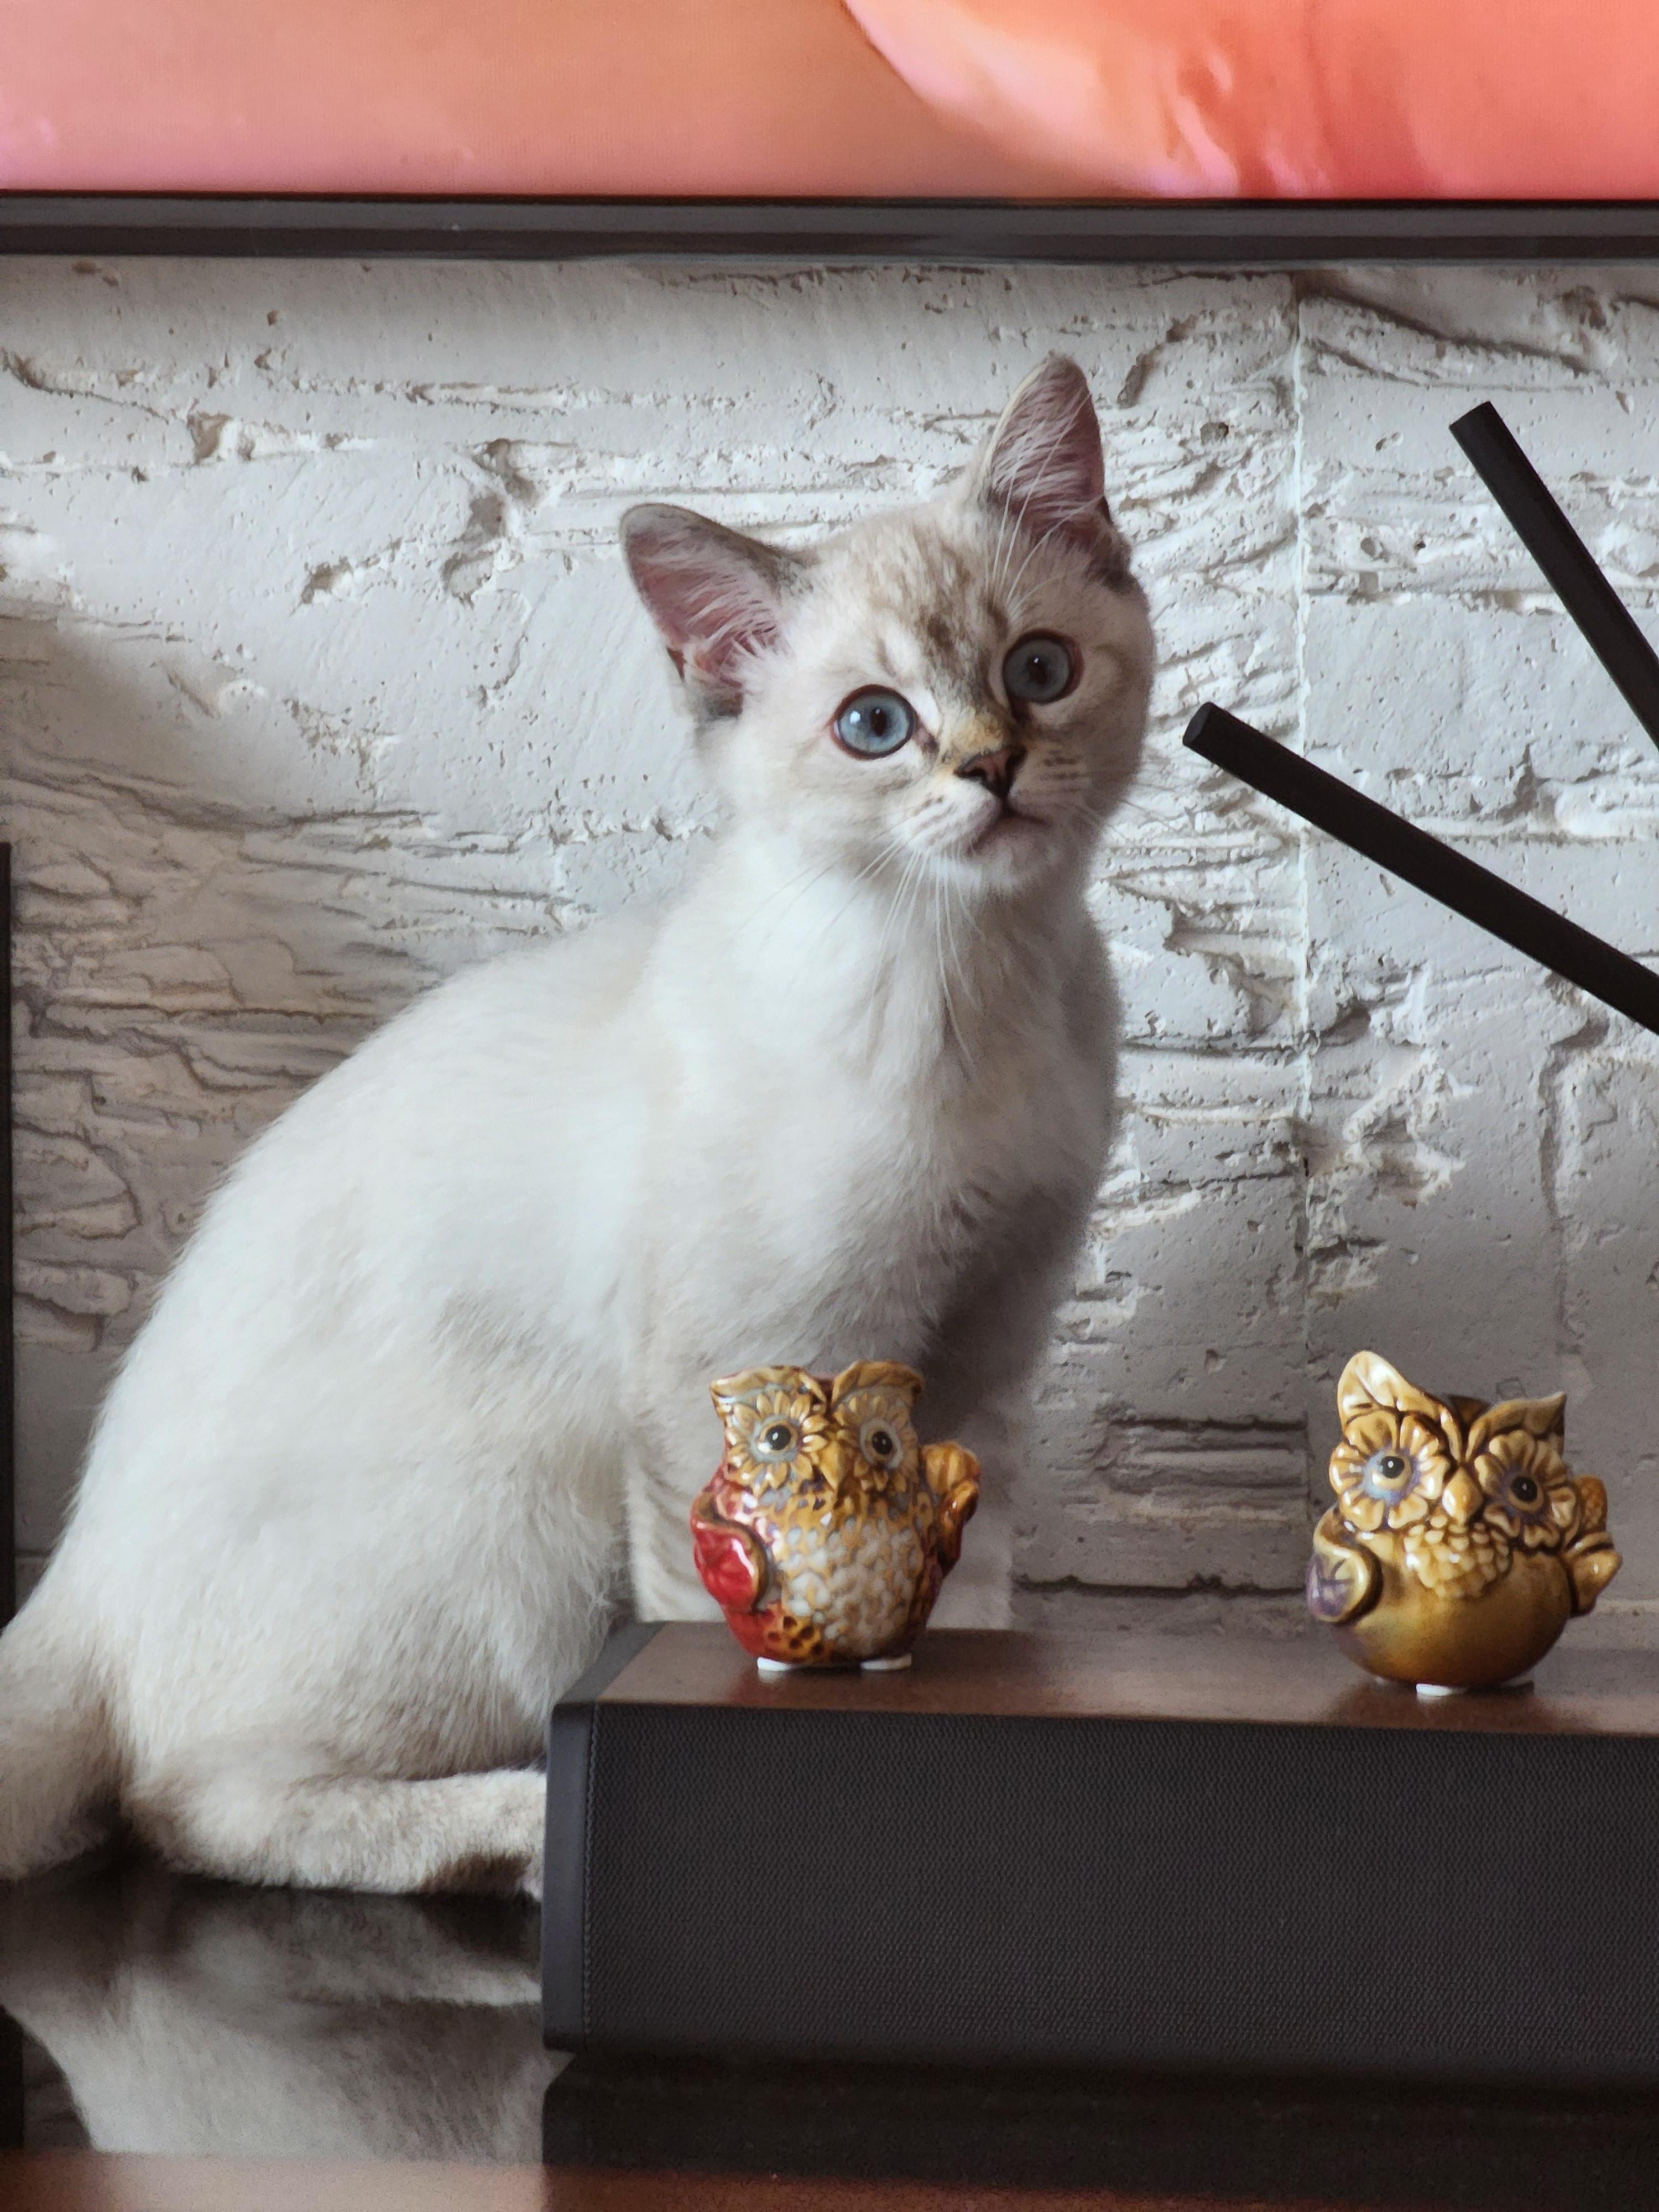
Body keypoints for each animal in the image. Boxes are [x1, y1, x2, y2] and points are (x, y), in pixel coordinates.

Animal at [0, 355, 1152, 1897]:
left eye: (1039, 670)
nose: (992, 771)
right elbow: (734, 1634)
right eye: (875, 724)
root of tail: (68, 1583)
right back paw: (520, 1832)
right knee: (199, 1805)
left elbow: (966, 1629)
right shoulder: (734, 1400)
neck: (978, 970)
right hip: (532, 1508)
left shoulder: (985, 1363)